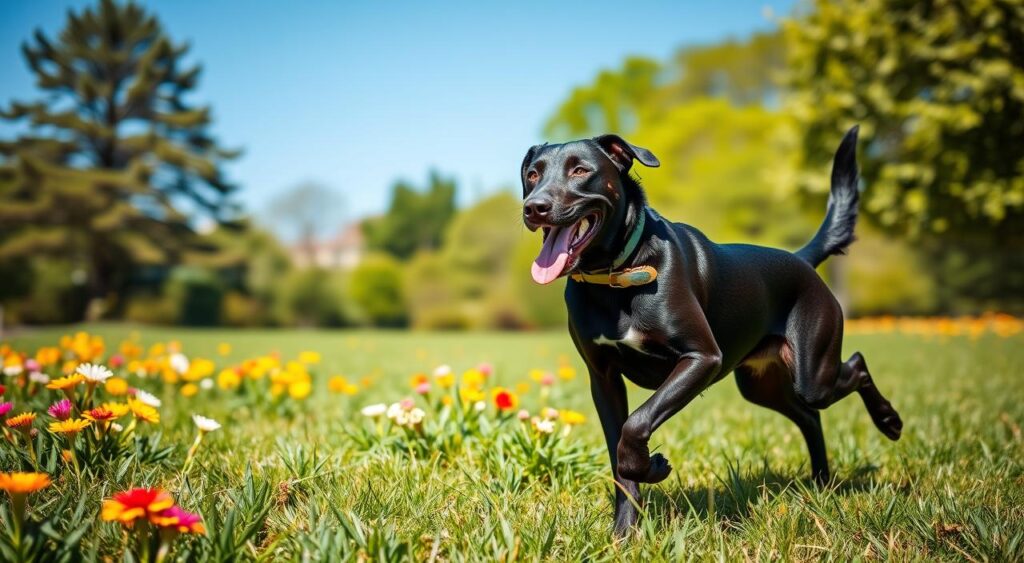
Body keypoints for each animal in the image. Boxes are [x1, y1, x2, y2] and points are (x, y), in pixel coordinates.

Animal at [524, 127, 901, 540]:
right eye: (532, 174)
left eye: (580, 170)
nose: (533, 207)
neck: (617, 275)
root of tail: (801, 260)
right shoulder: (603, 379)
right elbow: (620, 456)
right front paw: (625, 531)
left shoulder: (702, 358)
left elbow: (636, 424)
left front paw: (653, 466)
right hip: (761, 384)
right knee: (809, 416)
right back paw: (821, 481)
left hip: (812, 369)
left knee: (856, 366)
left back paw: (889, 421)